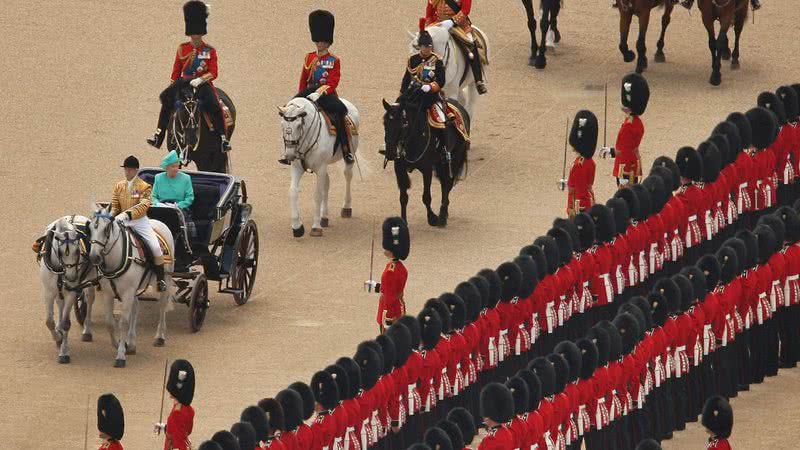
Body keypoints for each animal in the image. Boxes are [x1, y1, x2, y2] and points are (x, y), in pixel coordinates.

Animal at [37, 216, 97, 364]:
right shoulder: (48, 292)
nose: (71, 277)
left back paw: (87, 331)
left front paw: (64, 352)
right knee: (60, 304)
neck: (60, 268)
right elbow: (49, 321)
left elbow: (66, 323)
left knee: (89, 299)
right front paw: (58, 337)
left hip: (90, 278)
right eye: (59, 251)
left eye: (77, 251)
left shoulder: (72, 292)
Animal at [87, 206, 173, 368]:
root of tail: (159, 222)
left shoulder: (127, 293)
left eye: (106, 228)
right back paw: (132, 343)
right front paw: (119, 344)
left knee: (162, 306)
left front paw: (120, 355)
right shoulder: (109, 293)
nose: (94, 257)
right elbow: (110, 322)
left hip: (166, 280)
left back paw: (159, 337)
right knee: (136, 307)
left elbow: (123, 322)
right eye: (89, 228)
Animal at [278, 97, 360, 239]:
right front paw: (297, 227)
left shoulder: (320, 168)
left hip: (349, 155)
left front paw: (315, 227)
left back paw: (346, 207)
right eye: (282, 125)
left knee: (348, 175)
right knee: (327, 184)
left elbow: (317, 195)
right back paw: (324, 217)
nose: (289, 155)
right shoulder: (297, 168)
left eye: (298, 125)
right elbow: (293, 191)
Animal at [382, 96, 468, 227]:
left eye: (403, 124)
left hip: (455, 158)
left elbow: (426, 196)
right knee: (444, 184)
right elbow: (403, 197)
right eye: (385, 123)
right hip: (440, 164)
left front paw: (432, 218)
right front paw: (403, 221)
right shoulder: (400, 168)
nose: (390, 152)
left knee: (448, 183)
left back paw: (442, 217)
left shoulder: (427, 169)